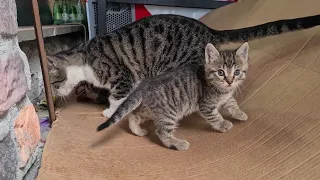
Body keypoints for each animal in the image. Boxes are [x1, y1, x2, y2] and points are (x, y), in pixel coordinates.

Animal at [47, 14, 320, 118]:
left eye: (52, 83)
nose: (54, 97)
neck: (83, 57)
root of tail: (207, 30)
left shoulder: (120, 77)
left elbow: (117, 98)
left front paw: (110, 112)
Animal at [96, 42, 249, 150]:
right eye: (220, 72)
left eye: (237, 72)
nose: (230, 81)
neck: (222, 89)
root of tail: (143, 85)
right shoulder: (205, 105)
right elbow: (215, 116)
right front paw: (223, 124)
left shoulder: (227, 96)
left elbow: (232, 103)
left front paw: (240, 114)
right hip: (169, 113)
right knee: (161, 132)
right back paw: (178, 143)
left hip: (149, 109)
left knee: (134, 115)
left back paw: (138, 130)